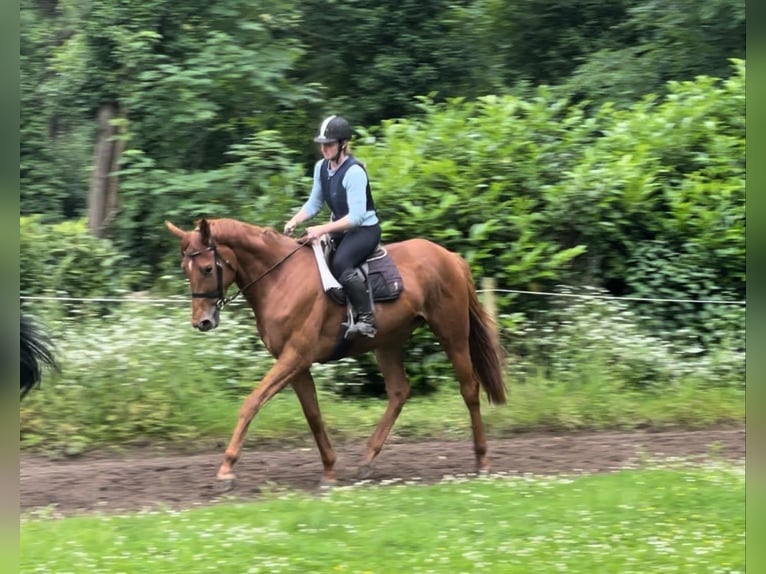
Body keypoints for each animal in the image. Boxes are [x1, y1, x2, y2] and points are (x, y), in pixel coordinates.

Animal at [165, 217, 507, 484]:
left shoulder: (294, 357)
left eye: (207, 268)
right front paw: (329, 470)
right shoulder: (296, 365)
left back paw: (482, 460)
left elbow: (252, 402)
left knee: (469, 388)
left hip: (452, 334)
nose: (202, 321)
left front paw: (226, 467)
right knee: (399, 392)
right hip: (387, 342)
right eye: (185, 268)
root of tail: (449, 256)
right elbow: (313, 414)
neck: (280, 279)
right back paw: (367, 458)